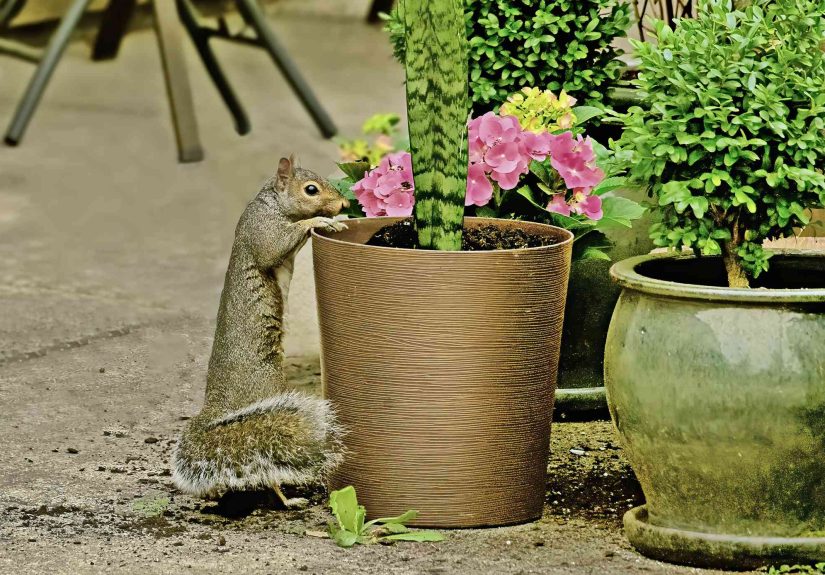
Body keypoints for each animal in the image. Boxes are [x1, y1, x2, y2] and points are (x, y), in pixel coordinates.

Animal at [172, 156, 349, 507]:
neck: (273, 204)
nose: (343, 204)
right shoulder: (262, 229)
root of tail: (217, 407)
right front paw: (324, 222)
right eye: (311, 190)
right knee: (268, 467)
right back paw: (287, 500)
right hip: (269, 398)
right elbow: (275, 246)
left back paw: (212, 495)